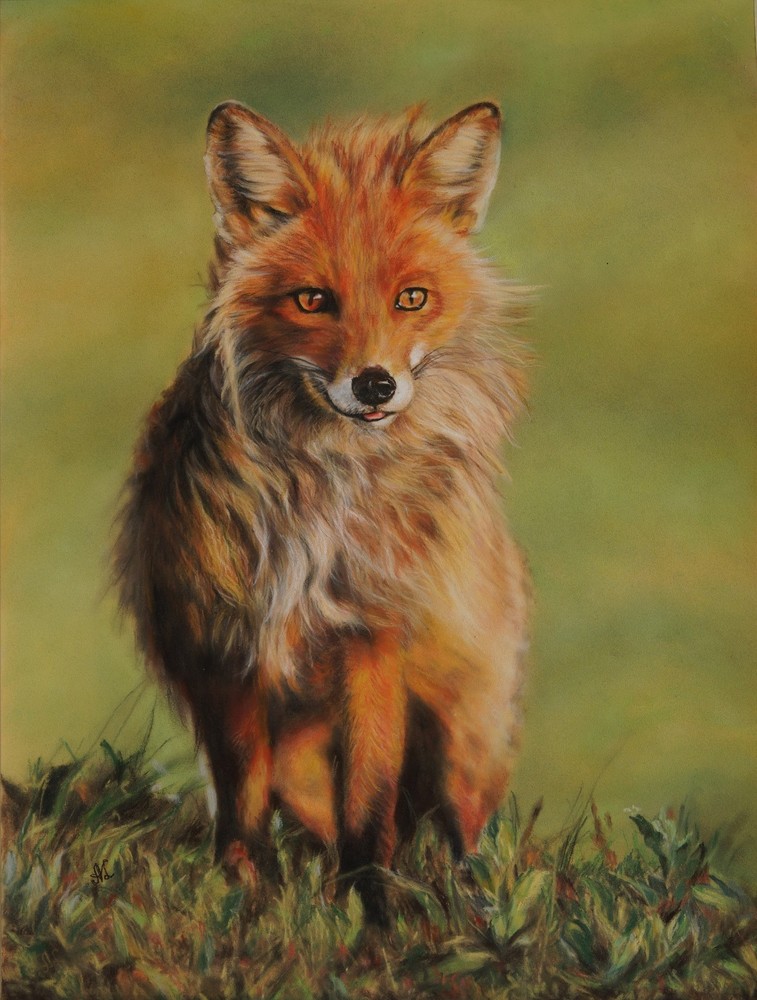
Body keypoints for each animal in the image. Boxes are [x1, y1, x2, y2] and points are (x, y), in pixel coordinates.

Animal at [114, 99, 530, 923]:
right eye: (312, 300)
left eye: (411, 298)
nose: (374, 384)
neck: (323, 497)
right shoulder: (224, 647)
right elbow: (241, 791)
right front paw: (242, 889)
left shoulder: (372, 639)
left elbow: (369, 797)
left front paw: (371, 908)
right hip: (301, 764)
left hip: (466, 732)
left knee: (456, 827)